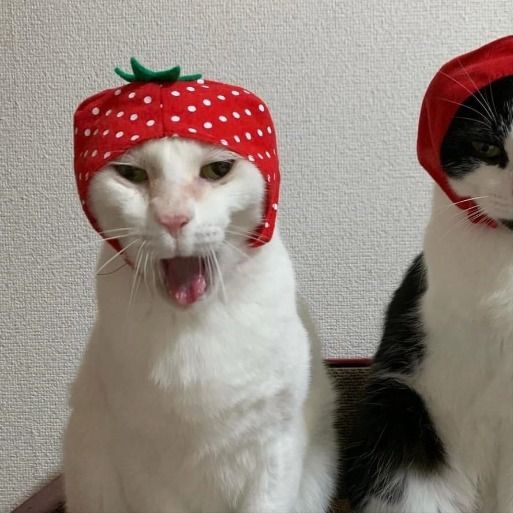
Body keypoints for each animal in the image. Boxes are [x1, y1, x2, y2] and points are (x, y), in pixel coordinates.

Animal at [64, 137, 336, 512]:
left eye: (218, 169)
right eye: (131, 174)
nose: (173, 219)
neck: (194, 324)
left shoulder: (275, 447)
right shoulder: (142, 467)